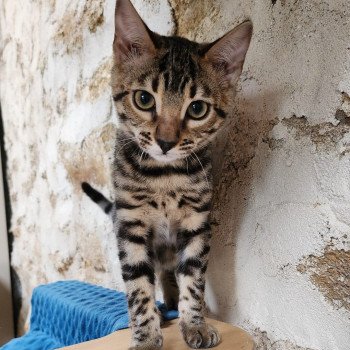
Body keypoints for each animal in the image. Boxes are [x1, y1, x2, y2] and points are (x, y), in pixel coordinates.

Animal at [82, 0, 252, 348]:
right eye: (144, 99)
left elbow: (193, 278)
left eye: (197, 109)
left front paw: (194, 323)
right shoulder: (131, 225)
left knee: (168, 272)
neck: (165, 177)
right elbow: (137, 286)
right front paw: (146, 335)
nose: (165, 142)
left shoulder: (196, 223)